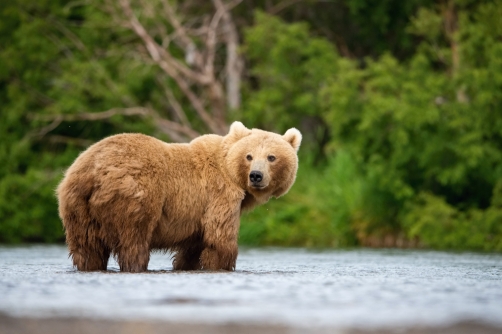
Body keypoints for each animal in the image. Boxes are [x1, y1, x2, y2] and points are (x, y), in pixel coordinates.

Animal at [57, 121, 304, 272]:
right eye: (249, 156)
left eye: (271, 157)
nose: (256, 176)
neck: (231, 173)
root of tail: (92, 172)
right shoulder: (219, 194)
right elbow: (219, 237)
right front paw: (223, 264)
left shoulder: (195, 216)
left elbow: (192, 248)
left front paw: (186, 264)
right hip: (133, 197)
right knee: (134, 240)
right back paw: (136, 265)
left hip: (77, 207)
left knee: (88, 249)